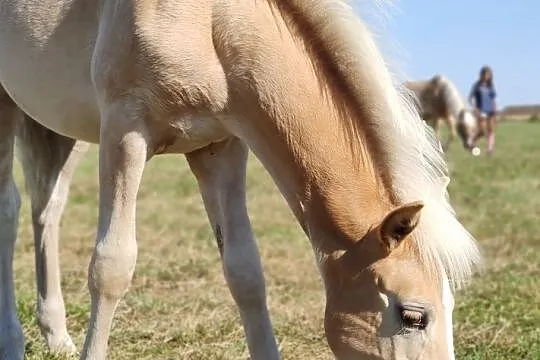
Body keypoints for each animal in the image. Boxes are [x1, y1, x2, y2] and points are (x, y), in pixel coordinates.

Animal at [0, 1, 480, 358]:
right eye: (413, 316)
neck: (210, 22)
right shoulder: (125, 131)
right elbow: (112, 265)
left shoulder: (220, 148)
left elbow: (245, 271)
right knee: (11, 209)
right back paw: (13, 344)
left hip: (59, 131)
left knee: (47, 209)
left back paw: (56, 335)